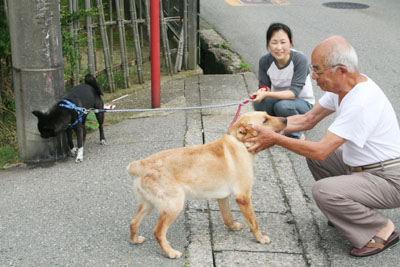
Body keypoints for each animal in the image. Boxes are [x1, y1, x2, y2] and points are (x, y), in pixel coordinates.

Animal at [126, 111, 286, 260]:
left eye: (268, 115)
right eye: (265, 120)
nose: (285, 119)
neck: (239, 142)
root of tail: (142, 165)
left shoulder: (223, 197)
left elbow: (227, 217)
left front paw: (233, 227)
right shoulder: (243, 197)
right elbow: (254, 223)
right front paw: (260, 238)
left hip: (149, 204)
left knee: (133, 222)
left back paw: (135, 240)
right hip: (173, 206)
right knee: (158, 232)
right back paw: (170, 252)